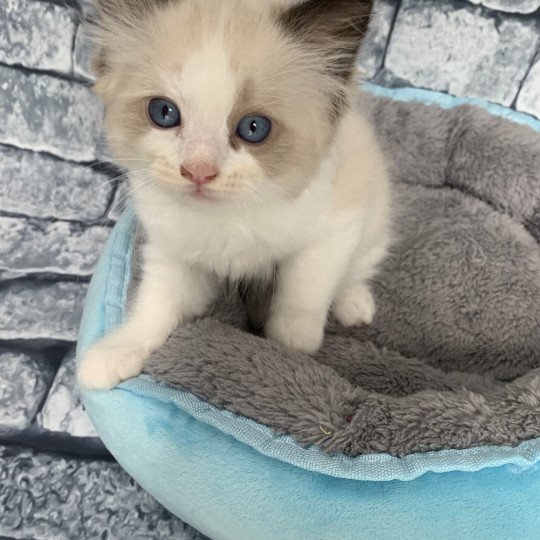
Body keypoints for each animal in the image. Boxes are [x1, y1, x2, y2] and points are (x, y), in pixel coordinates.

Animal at [78, 0, 390, 390]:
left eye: (253, 128)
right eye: (164, 113)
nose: (198, 171)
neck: (228, 215)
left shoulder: (333, 230)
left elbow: (302, 293)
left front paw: (292, 350)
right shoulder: (174, 252)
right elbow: (155, 304)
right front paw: (115, 354)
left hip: (373, 214)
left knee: (356, 270)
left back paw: (355, 307)